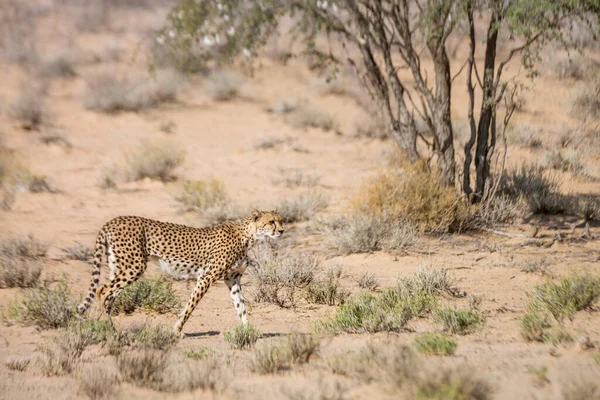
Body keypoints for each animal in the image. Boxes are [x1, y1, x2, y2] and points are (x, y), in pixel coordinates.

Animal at [77, 208, 284, 336]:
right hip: (135, 266)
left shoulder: (233, 279)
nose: (282, 231)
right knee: (102, 290)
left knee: (109, 296)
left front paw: (248, 331)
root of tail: (113, 220)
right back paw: (108, 329)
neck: (248, 236)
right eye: (271, 222)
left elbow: (241, 306)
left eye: (281, 221)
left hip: (118, 266)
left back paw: (108, 327)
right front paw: (177, 330)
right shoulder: (206, 276)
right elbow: (190, 306)